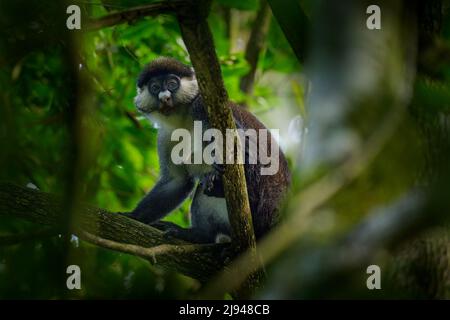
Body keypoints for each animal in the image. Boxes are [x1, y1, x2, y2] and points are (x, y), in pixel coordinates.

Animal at [122, 57, 292, 244]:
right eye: (155, 87)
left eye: (172, 83)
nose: (164, 97)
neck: (184, 117)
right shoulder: (165, 136)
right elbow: (177, 181)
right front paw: (133, 216)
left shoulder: (201, 106)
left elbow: (242, 142)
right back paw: (200, 235)